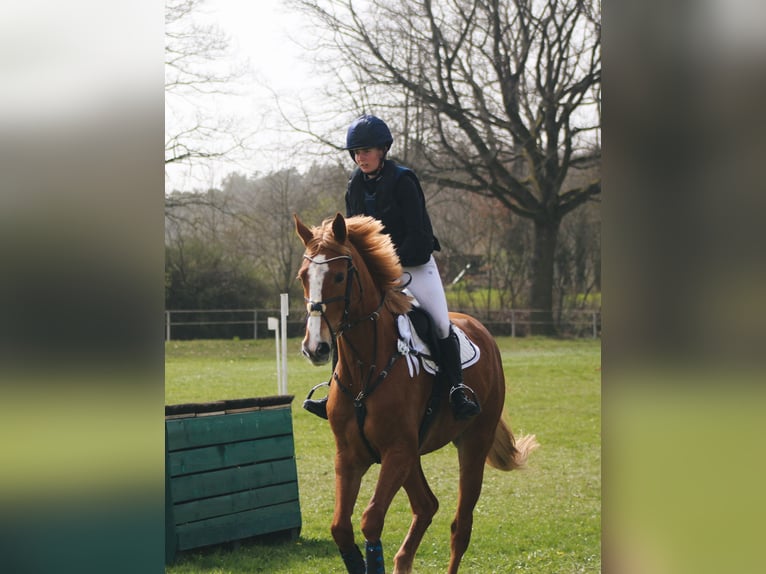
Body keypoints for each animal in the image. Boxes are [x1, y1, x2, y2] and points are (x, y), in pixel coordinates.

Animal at [296, 215, 540, 574]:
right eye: (303, 276)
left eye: (339, 276)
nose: (316, 348)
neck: (366, 368)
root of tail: (481, 330)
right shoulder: (351, 455)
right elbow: (341, 527)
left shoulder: (397, 451)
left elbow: (371, 520)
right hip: (414, 455)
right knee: (426, 505)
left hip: (471, 443)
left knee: (460, 526)